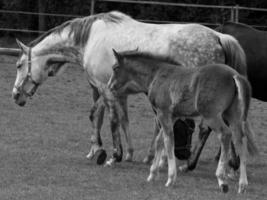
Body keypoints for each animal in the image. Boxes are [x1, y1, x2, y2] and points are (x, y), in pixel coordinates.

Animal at [108, 49, 260, 193]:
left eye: (115, 68)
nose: (110, 86)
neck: (156, 75)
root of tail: (234, 75)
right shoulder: (173, 116)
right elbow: (159, 141)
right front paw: (152, 174)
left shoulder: (163, 113)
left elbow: (168, 141)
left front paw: (170, 178)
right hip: (232, 115)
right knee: (240, 139)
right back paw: (242, 185)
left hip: (212, 115)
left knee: (225, 134)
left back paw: (222, 180)